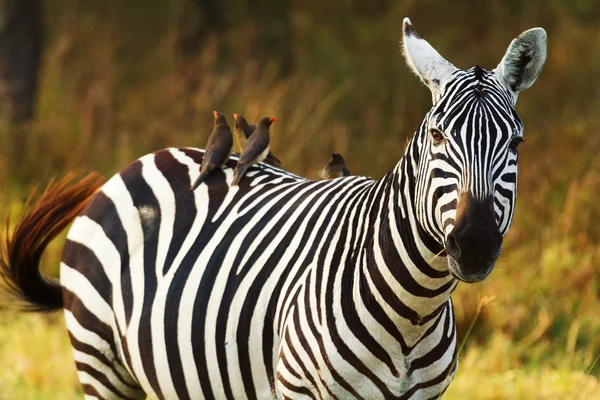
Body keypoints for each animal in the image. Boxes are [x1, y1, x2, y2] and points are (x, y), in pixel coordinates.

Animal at [0, 18, 548, 400]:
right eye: (437, 137)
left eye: (517, 144)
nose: (474, 244)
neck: (414, 311)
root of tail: (144, 160)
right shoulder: (299, 389)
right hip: (102, 363)